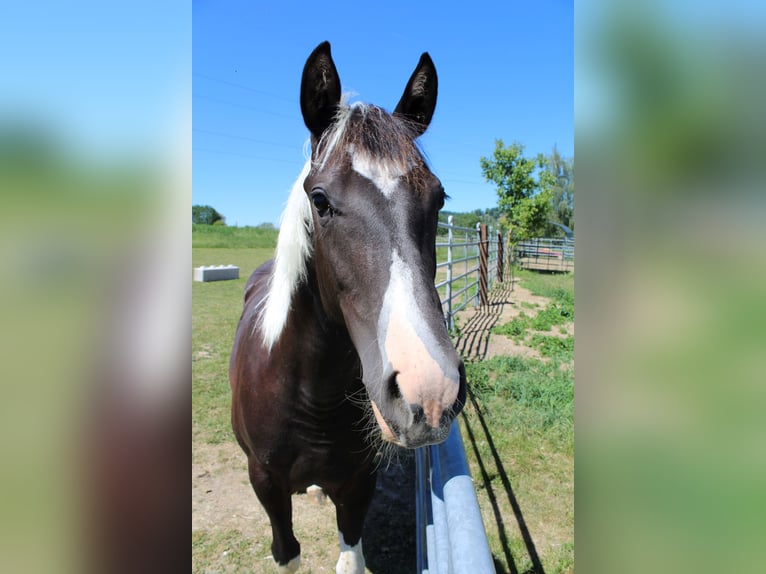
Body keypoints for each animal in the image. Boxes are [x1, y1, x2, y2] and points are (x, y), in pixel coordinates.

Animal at [229, 41, 466, 574]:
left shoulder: (359, 484)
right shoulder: (265, 486)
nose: (430, 391)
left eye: (439, 197)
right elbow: (287, 553)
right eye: (319, 200)